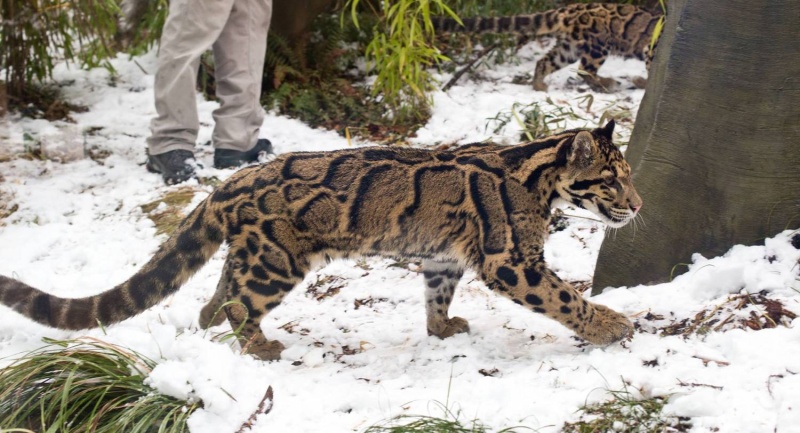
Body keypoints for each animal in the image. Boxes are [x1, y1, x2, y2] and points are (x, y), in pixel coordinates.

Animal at [0, 120, 636, 360]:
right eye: (612, 180)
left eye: (628, 177)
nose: (637, 205)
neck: (537, 170)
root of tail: (229, 183)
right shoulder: (512, 260)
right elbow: (564, 297)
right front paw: (611, 326)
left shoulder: (442, 257)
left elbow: (437, 292)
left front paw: (440, 329)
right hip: (277, 260)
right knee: (238, 303)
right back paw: (259, 347)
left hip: (255, 252)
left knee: (217, 293)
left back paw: (209, 328)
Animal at [434, 2, 664, 92]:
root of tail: (569, 9)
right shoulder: (650, 49)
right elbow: (652, 73)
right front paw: (642, 83)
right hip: (597, 46)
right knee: (585, 71)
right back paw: (606, 84)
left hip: (569, 48)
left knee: (544, 61)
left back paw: (538, 86)